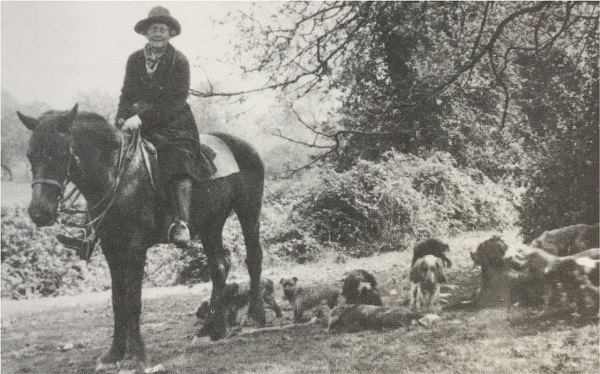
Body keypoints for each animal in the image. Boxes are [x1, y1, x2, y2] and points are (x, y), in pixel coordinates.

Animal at [17, 104, 266, 372]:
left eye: (57, 154)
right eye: (31, 156)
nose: (39, 213)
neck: (119, 175)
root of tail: (242, 145)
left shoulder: (135, 249)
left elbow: (133, 302)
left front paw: (136, 356)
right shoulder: (112, 249)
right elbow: (118, 301)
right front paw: (114, 354)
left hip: (249, 213)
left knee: (253, 259)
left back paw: (255, 317)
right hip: (211, 225)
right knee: (219, 267)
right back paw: (211, 330)